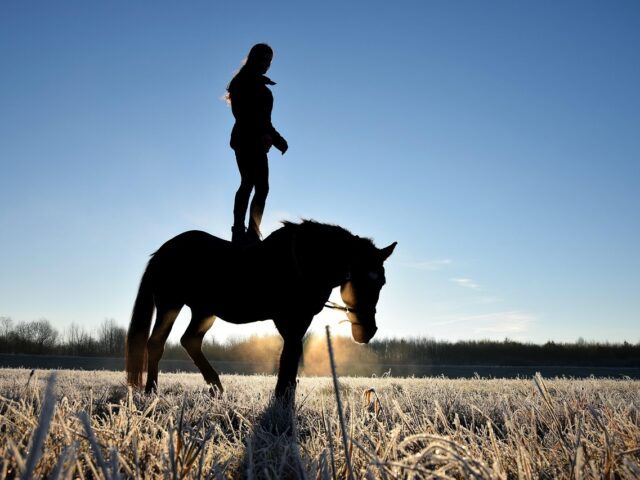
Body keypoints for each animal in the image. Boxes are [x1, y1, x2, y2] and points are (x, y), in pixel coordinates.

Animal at [125, 220, 396, 399]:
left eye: (382, 281)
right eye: (353, 277)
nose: (367, 331)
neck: (303, 261)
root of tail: (162, 252)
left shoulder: (300, 320)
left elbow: (293, 354)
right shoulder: (289, 318)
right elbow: (289, 355)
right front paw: (282, 398)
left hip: (204, 311)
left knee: (189, 340)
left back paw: (216, 386)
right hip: (171, 304)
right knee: (156, 342)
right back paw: (151, 390)